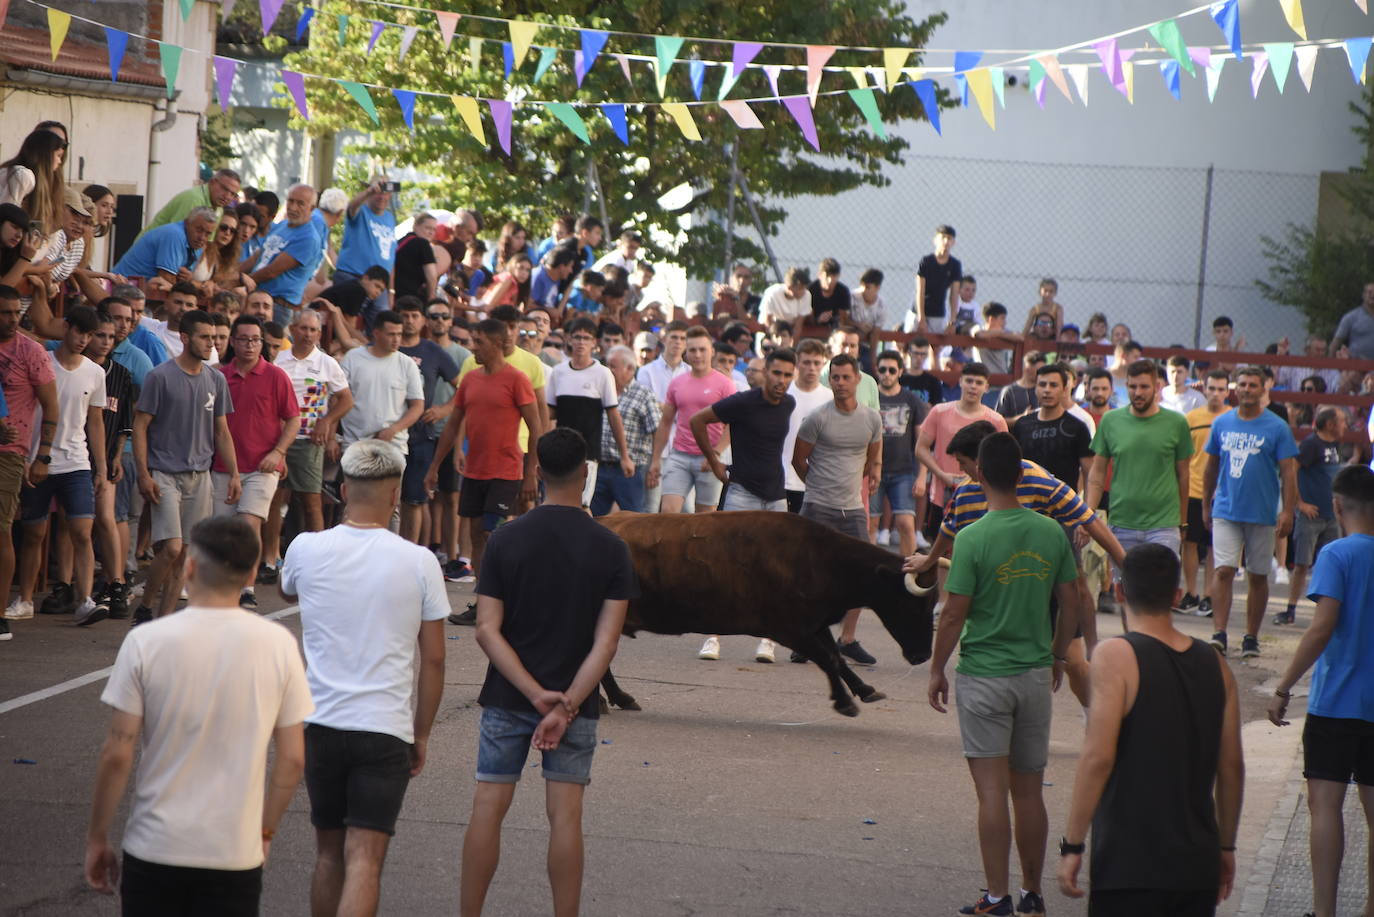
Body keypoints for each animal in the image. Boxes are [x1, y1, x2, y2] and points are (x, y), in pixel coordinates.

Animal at [590, 508, 934, 714]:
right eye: (911, 603)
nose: (922, 656)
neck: (820, 559)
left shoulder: (812, 624)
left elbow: (835, 656)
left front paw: (865, 690)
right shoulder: (789, 628)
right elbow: (827, 658)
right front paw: (844, 701)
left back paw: (617, 699)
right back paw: (614, 699)